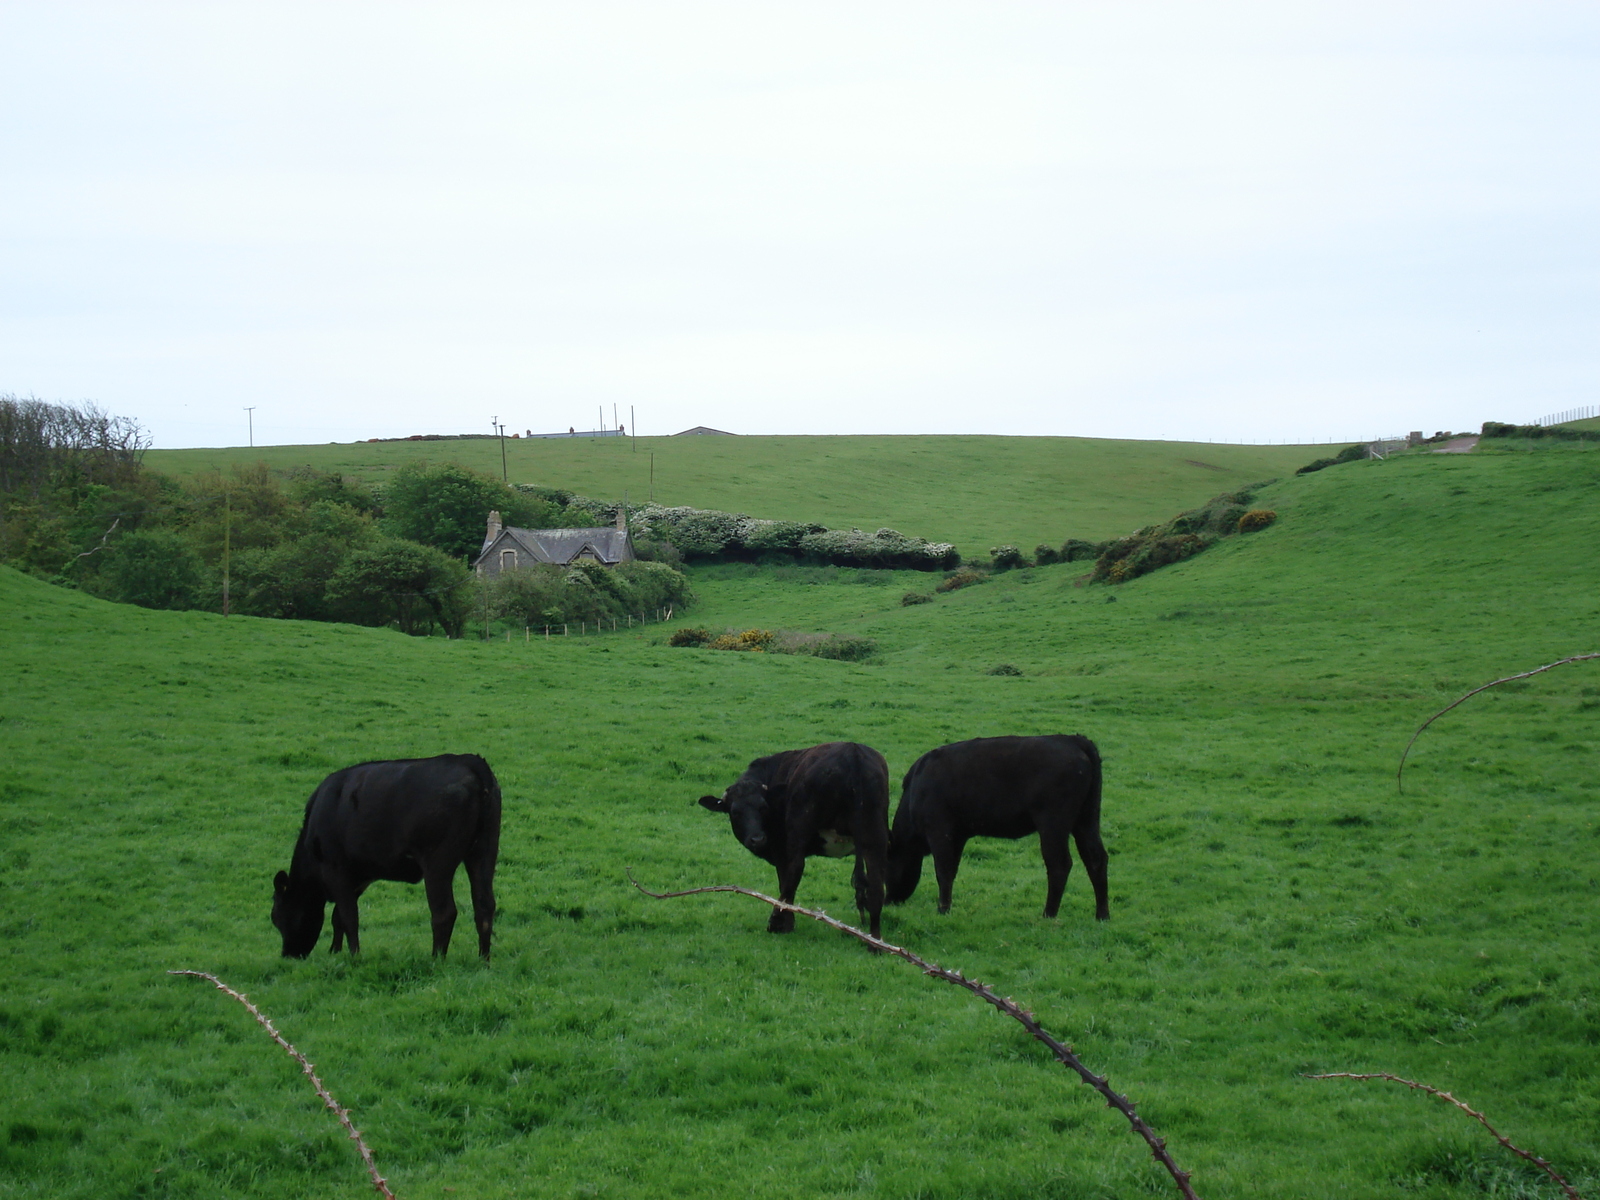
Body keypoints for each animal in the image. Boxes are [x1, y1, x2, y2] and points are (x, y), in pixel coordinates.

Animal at [270, 755, 499, 966]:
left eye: (278, 918)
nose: (288, 955)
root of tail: (469, 761)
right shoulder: (359, 877)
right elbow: (338, 917)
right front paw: (335, 952)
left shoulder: (336, 870)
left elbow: (348, 917)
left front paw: (354, 956)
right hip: (484, 852)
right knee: (484, 906)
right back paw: (484, 960)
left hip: (437, 863)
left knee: (444, 912)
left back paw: (436, 960)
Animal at [700, 742, 896, 940]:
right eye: (735, 812)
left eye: (763, 807)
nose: (757, 839)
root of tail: (852, 751)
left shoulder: (781, 850)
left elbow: (784, 878)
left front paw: (787, 923)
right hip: (875, 836)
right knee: (876, 886)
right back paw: (873, 940)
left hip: (799, 828)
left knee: (795, 869)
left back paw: (776, 922)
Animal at [883, 732, 1107, 921]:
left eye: (887, 866)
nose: (888, 901)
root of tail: (1072, 740)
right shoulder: (958, 835)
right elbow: (952, 870)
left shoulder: (939, 830)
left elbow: (943, 870)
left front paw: (942, 910)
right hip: (1086, 820)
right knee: (1096, 858)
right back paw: (1102, 915)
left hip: (1053, 823)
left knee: (1059, 864)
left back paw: (1048, 914)